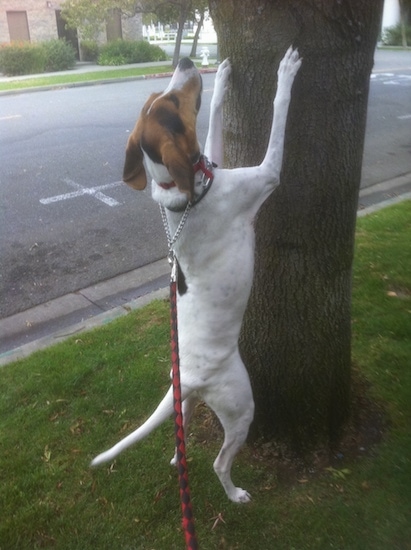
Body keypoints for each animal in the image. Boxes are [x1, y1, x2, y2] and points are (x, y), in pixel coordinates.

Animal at [91, 47, 300, 504]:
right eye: (171, 103)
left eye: (160, 97)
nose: (186, 60)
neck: (179, 192)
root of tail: (189, 378)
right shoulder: (267, 174)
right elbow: (279, 119)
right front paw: (286, 72)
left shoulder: (214, 158)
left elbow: (216, 118)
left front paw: (222, 75)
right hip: (241, 405)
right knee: (220, 461)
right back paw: (235, 493)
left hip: (186, 403)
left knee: (180, 433)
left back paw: (177, 458)